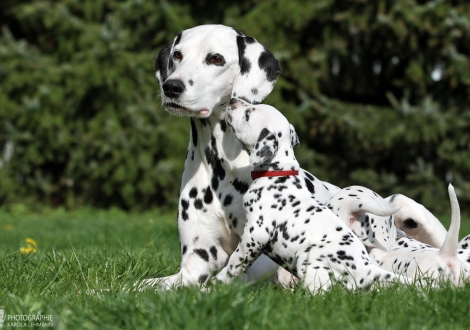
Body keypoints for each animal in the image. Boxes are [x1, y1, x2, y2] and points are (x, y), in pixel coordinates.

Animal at [143, 25, 338, 288]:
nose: (172, 87)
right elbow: (139, 286)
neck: (221, 170)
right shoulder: (195, 263)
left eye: (216, 59)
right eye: (177, 55)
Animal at [211, 98, 410, 292]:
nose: (233, 101)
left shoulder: (255, 234)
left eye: (247, 114)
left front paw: (216, 282)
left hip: (308, 259)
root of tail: (367, 270)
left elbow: (235, 262)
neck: (277, 174)